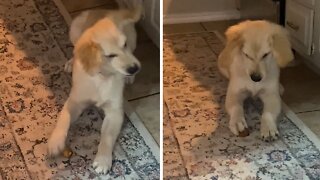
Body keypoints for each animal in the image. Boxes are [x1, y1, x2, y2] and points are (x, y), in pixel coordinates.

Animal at [47, 7, 141, 174]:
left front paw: (103, 160)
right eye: (111, 55)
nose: (134, 68)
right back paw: (71, 62)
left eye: (124, 45)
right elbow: (63, 118)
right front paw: (55, 141)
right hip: (75, 29)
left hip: (133, 36)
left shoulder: (115, 111)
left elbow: (107, 136)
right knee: (75, 50)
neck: (102, 76)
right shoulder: (75, 101)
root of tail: (106, 9)